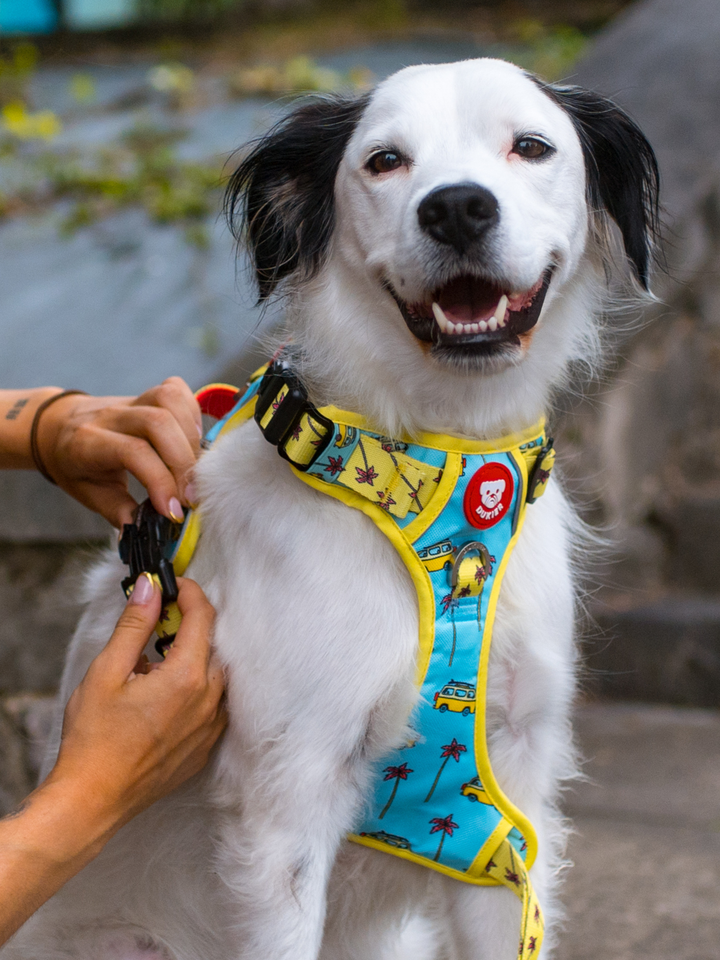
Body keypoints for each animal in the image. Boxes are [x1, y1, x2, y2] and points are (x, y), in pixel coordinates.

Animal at [4, 58, 660, 960]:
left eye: (531, 147)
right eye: (384, 162)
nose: (457, 207)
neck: (443, 464)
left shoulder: (503, 818)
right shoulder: (285, 811)